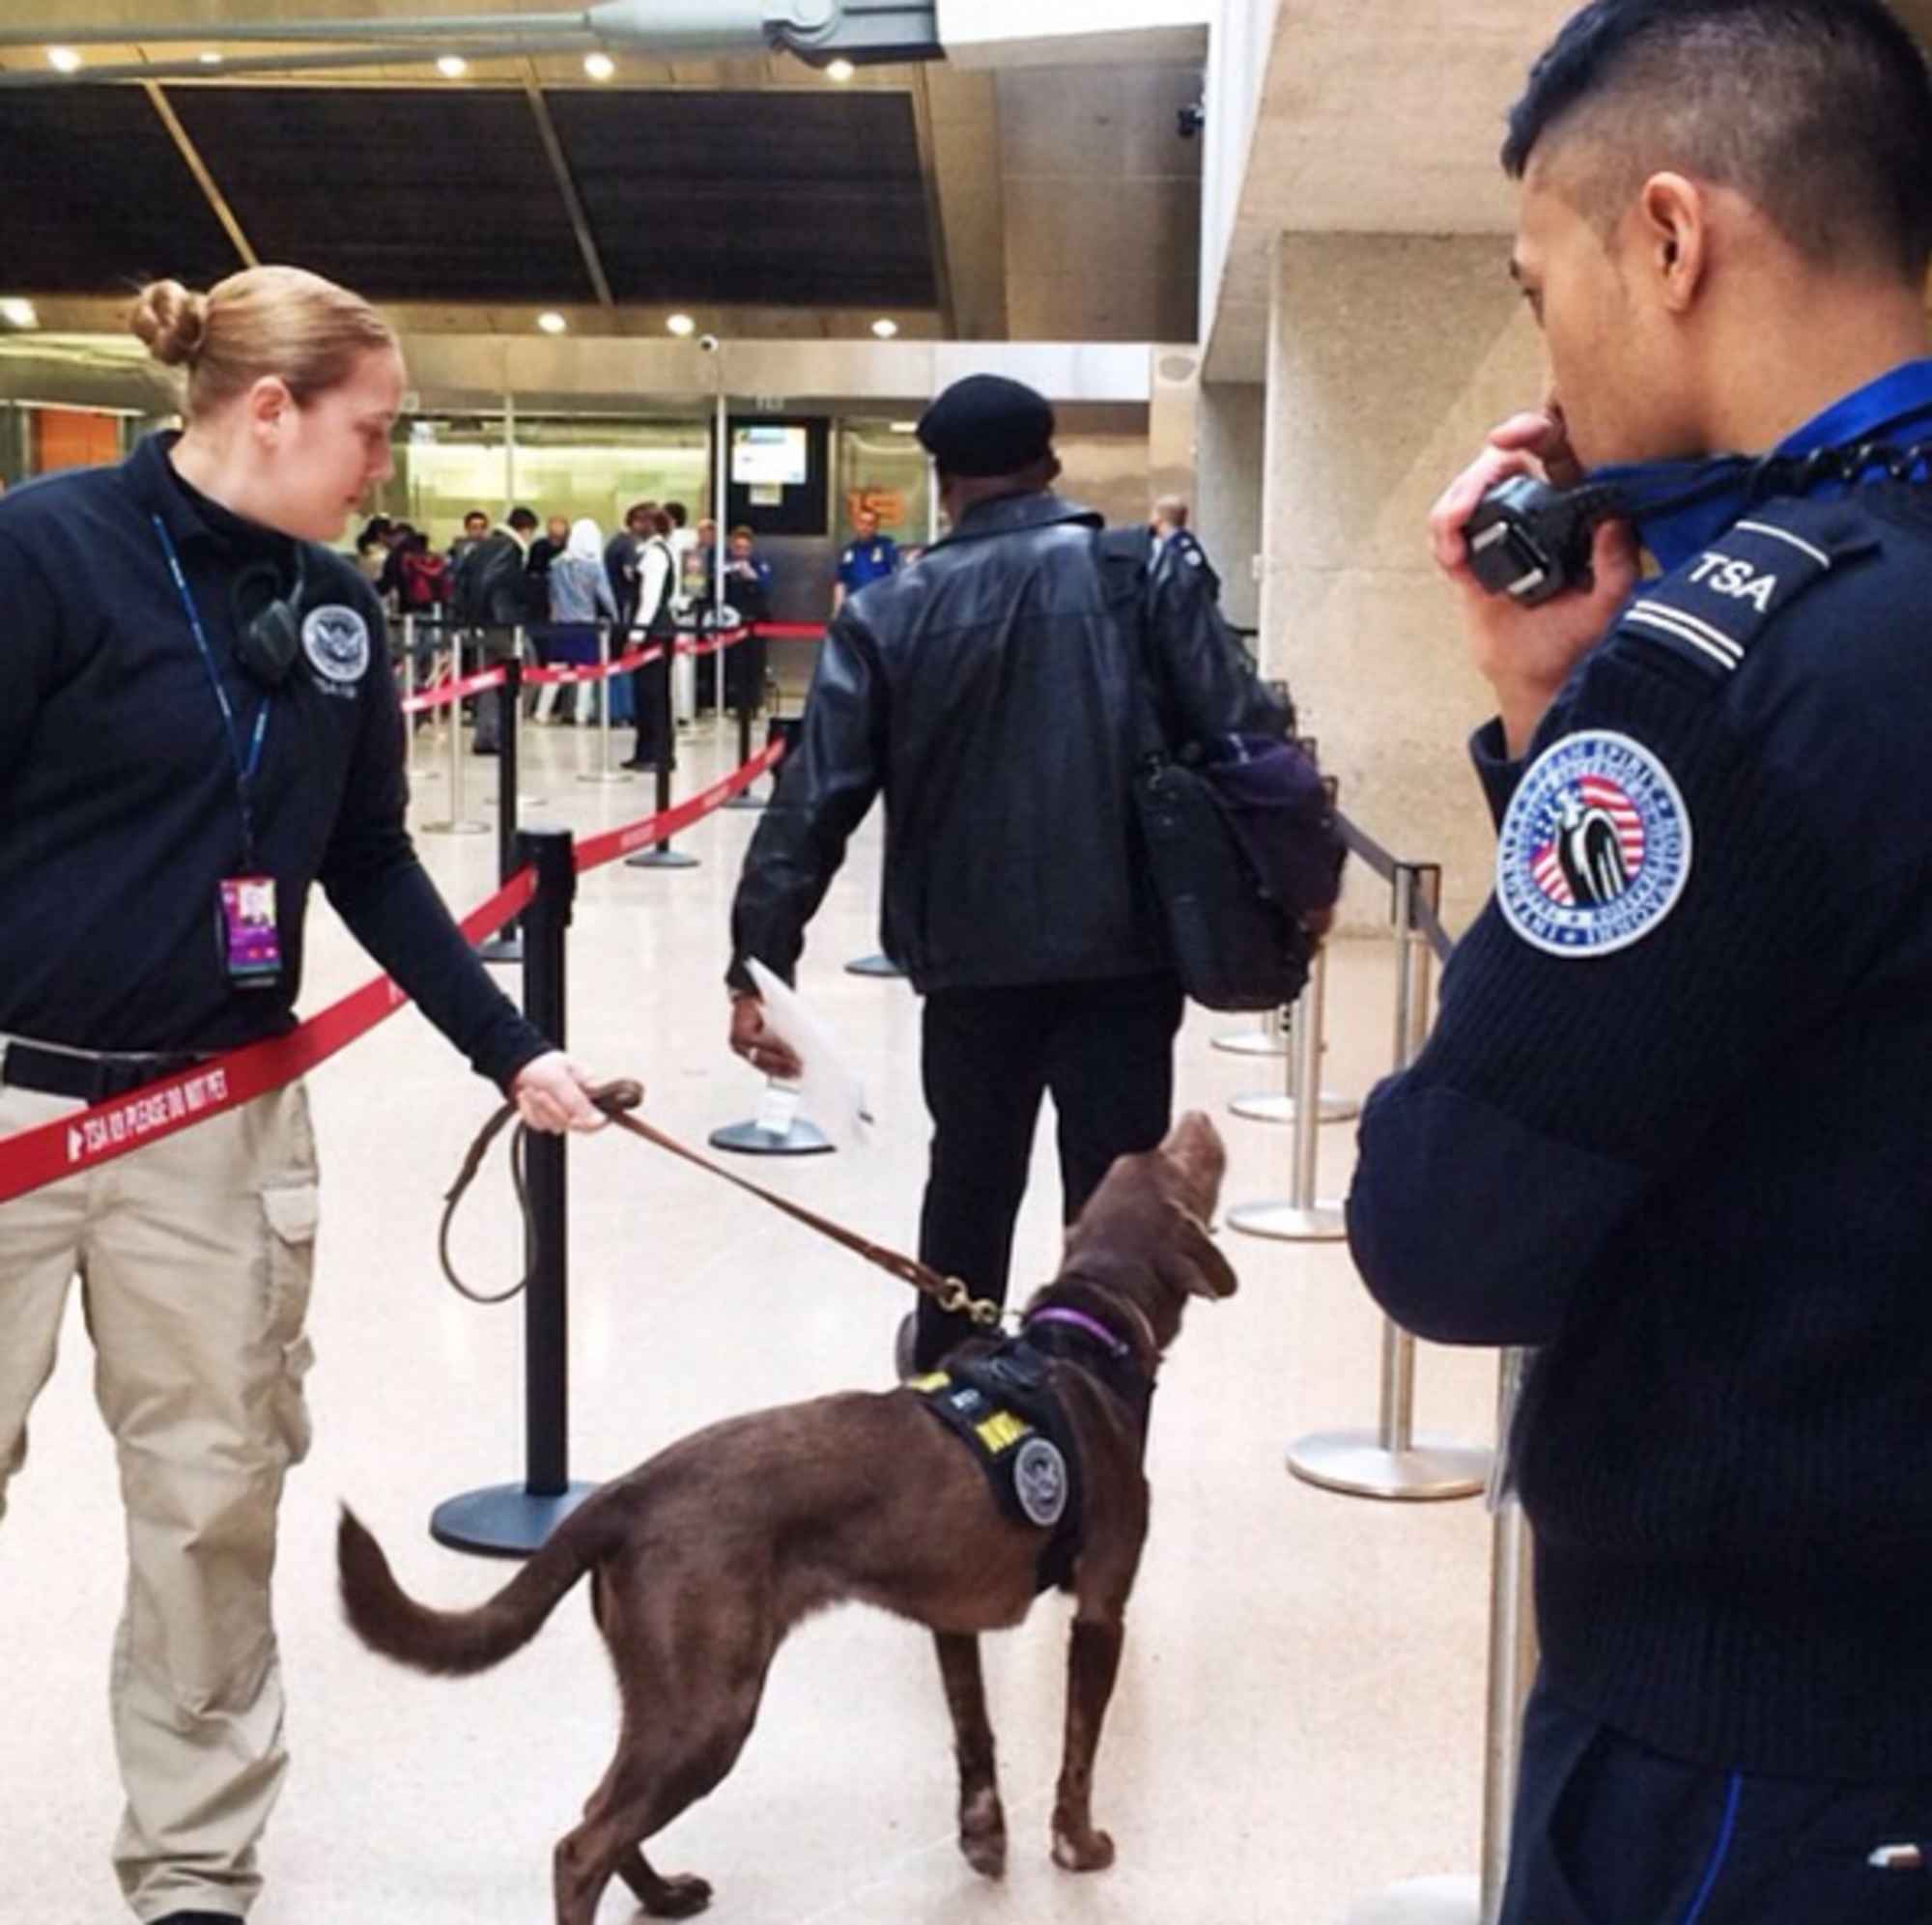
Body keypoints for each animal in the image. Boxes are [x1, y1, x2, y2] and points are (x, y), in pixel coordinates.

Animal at [338, 1113, 1229, 1925]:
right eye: (1184, 1160)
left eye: (1145, 1154)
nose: (1198, 1118)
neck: (1080, 1338)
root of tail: (627, 1487)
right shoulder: (1101, 1611)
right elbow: (1079, 1749)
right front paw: (1078, 1844)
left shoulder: (953, 1618)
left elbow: (975, 1735)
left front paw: (984, 1837)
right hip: (711, 1705)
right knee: (581, 1844)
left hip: (664, 1692)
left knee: (600, 1809)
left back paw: (664, 1893)